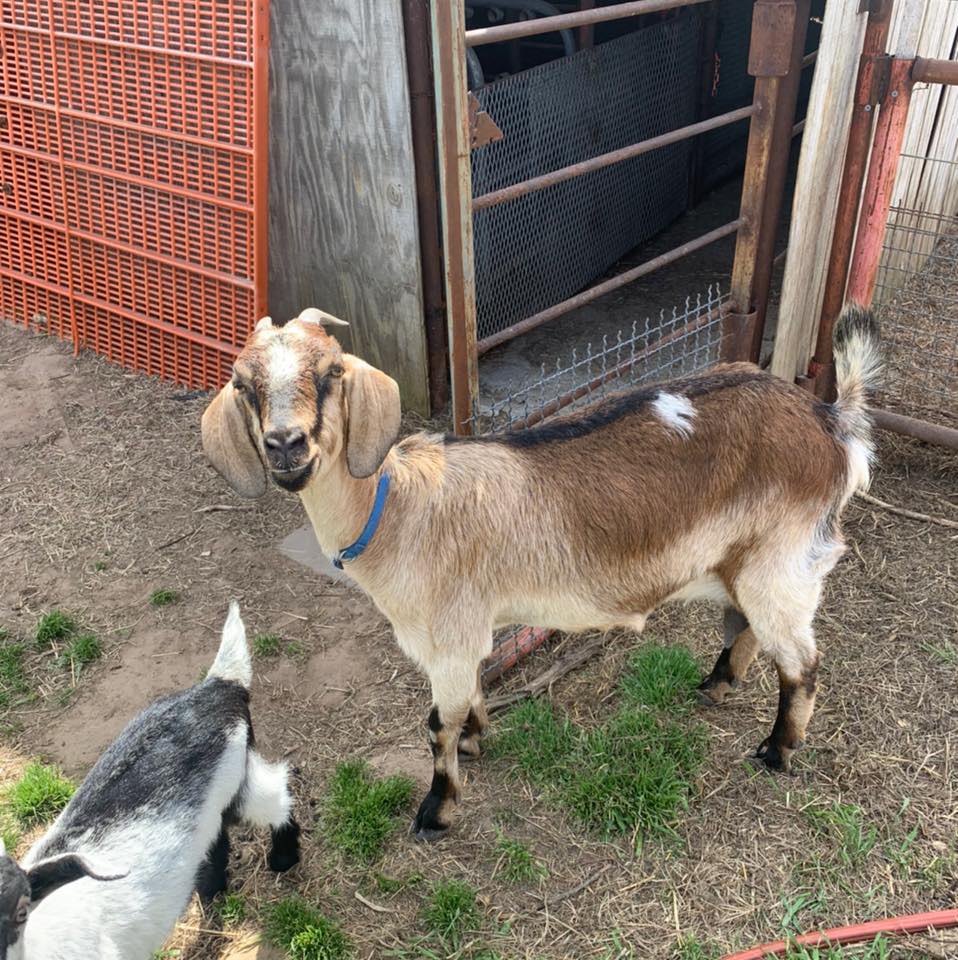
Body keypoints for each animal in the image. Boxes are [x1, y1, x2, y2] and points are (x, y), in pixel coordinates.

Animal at [2, 602, 299, 960]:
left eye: (21, 911)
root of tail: (219, 685)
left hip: (238, 776)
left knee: (276, 797)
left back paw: (283, 858)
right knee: (216, 835)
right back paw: (210, 887)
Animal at [202, 305, 880, 841]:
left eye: (331, 373)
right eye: (242, 383)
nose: (286, 445)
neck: (397, 509)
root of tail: (831, 422)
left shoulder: (448, 633)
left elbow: (435, 725)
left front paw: (436, 812)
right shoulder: (463, 633)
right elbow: (468, 699)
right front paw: (475, 737)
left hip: (783, 560)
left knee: (802, 664)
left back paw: (776, 751)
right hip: (744, 558)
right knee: (744, 626)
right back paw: (715, 685)